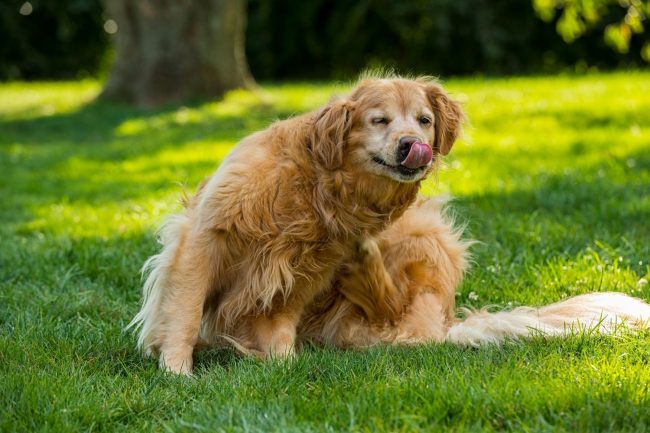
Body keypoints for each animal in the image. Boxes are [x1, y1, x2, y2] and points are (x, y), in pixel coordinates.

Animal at [132, 73, 648, 372]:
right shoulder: (207, 235)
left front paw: (281, 366)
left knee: (399, 315)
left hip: (428, 232)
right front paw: (178, 369)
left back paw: (365, 260)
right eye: (379, 120)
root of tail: (448, 321)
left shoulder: (305, 271)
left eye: (424, 120)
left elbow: (278, 320)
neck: (319, 185)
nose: (410, 146)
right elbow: (186, 310)